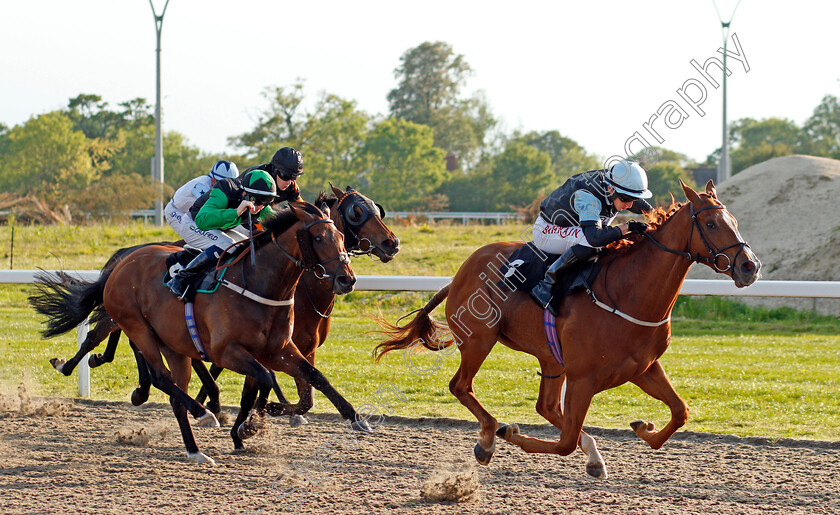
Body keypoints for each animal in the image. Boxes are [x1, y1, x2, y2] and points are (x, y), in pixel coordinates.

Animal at [32, 202, 368, 464]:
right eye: (319, 237)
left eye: (341, 237)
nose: (347, 279)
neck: (259, 283)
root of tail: (121, 263)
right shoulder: (227, 351)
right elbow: (265, 379)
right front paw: (249, 425)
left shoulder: (278, 349)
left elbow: (313, 378)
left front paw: (356, 418)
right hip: (137, 327)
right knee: (159, 376)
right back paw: (202, 413)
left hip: (173, 345)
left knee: (174, 393)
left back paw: (195, 449)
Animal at [374, 181, 760, 480]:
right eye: (710, 223)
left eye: (734, 221)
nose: (749, 266)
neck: (628, 293)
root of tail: (460, 272)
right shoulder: (584, 378)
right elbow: (565, 442)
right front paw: (510, 434)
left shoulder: (643, 368)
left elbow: (680, 411)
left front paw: (643, 429)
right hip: (479, 339)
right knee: (461, 386)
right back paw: (488, 438)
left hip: (550, 357)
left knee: (546, 407)